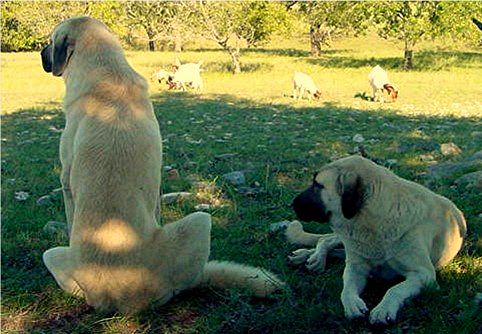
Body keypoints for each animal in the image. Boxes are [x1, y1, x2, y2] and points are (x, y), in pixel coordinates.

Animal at [40, 15, 282, 314]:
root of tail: (119, 299)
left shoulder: (67, 181)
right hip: (197, 223)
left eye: (50, 41)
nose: (41, 53)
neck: (107, 75)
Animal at [284, 156, 466, 324]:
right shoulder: (356, 268)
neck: (376, 220)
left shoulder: (424, 275)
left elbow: (395, 289)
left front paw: (383, 309)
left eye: (318, 185)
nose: (291, 204)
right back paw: (311, 256)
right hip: (347, 241)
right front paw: (352, 305)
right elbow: (346, 288)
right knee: (327, 240)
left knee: (335, 248)